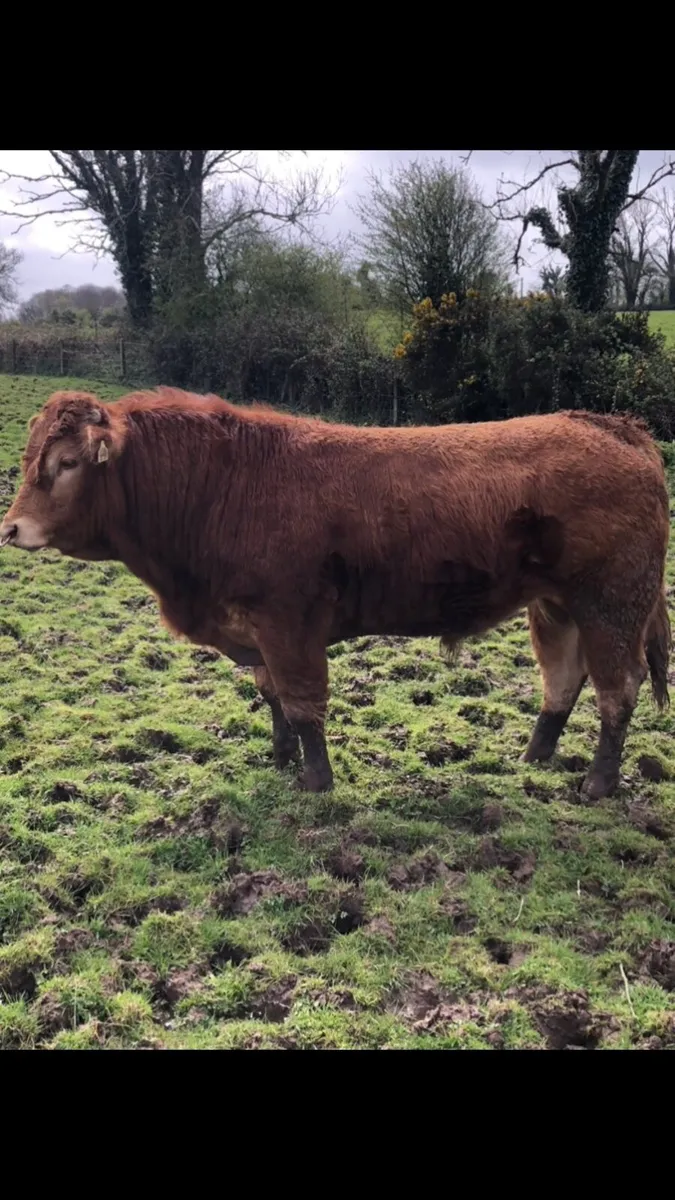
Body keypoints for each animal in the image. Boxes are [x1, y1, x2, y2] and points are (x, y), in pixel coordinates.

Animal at [0, 388, 671, 799]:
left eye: (65, 463)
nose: (11, 529)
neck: (219, 489)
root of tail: (615, 427)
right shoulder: (256, 629)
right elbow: (272, 696)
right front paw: (278, 761)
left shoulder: (290, 624)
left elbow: (303, 704)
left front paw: (315, 781)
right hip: (555, 607)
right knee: (562, 680)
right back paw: (534, 757)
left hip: (612, 604)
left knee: (618, 689)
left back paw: (598, 784)